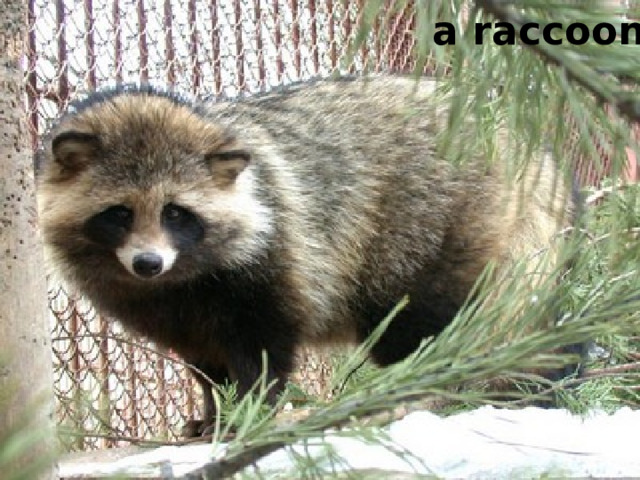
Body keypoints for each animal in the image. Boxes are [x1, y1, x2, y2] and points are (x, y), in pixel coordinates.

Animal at [37, 76, 574, 435]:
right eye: (120, 213)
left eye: (175, 213)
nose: (148, 263)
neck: (181, 278)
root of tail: (525, 145)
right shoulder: (170, 311)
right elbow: (204, 365)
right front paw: (213, 413)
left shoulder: (276, 255)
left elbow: (263, 349)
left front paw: (249, 412)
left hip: (440, 227)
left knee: (429, 321)